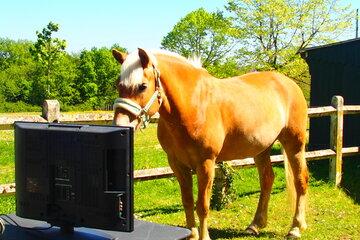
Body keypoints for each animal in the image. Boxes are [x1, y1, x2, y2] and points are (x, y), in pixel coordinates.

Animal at [112, 47, 310, 239]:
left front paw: (203, 236)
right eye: (119, 85)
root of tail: (289, 83)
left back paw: (296, 228)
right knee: (267, 179)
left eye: (142, 86)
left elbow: (202, 206)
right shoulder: (177, 164)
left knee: (300, 180)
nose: (121, 125)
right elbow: (187, 201)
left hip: (294, 144)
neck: (193, 106)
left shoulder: (206, 163)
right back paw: (255, 225)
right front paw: (191, 235)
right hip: (261, 149)